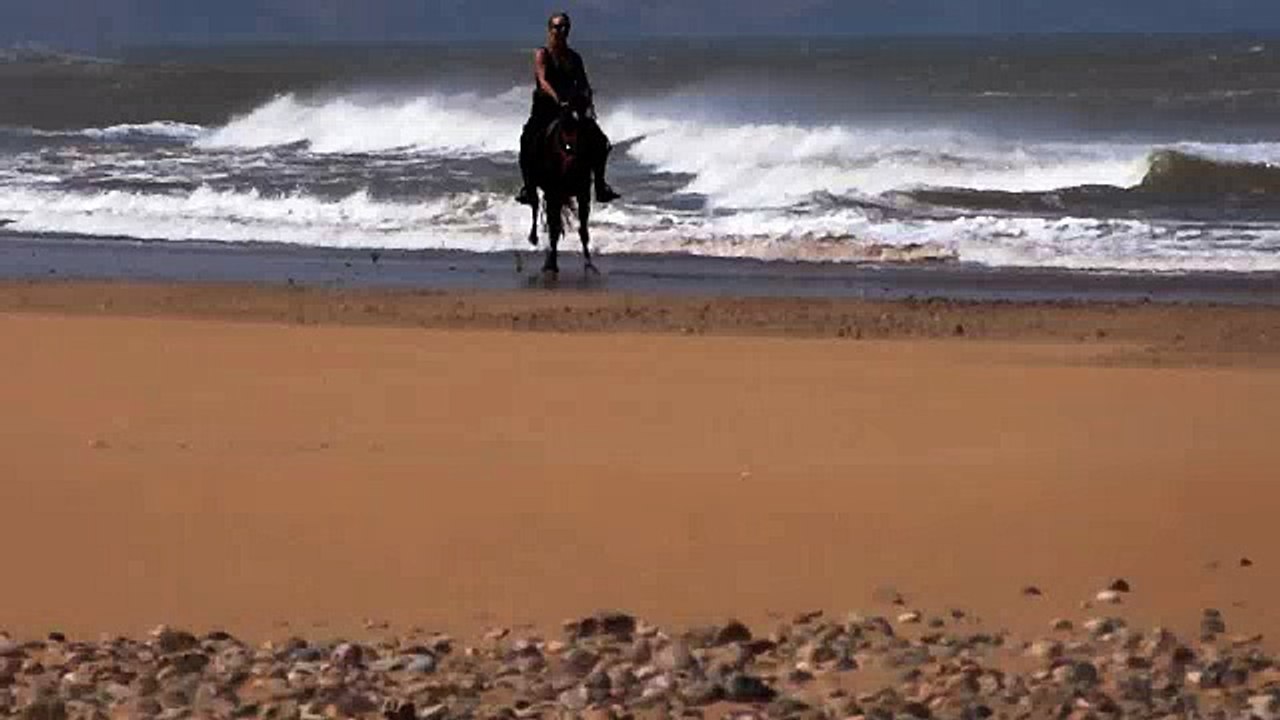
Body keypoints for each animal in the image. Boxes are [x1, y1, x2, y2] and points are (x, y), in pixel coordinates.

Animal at [525, 94, 601, 277]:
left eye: (588, 114)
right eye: (569, 118)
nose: (572, 150)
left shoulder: (582, 194)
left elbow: (583, 229)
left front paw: (589, 263)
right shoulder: (554, 193)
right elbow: (554, 227)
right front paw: (551, 264)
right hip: (537, 187)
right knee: (536, 207)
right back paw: (535, 239)